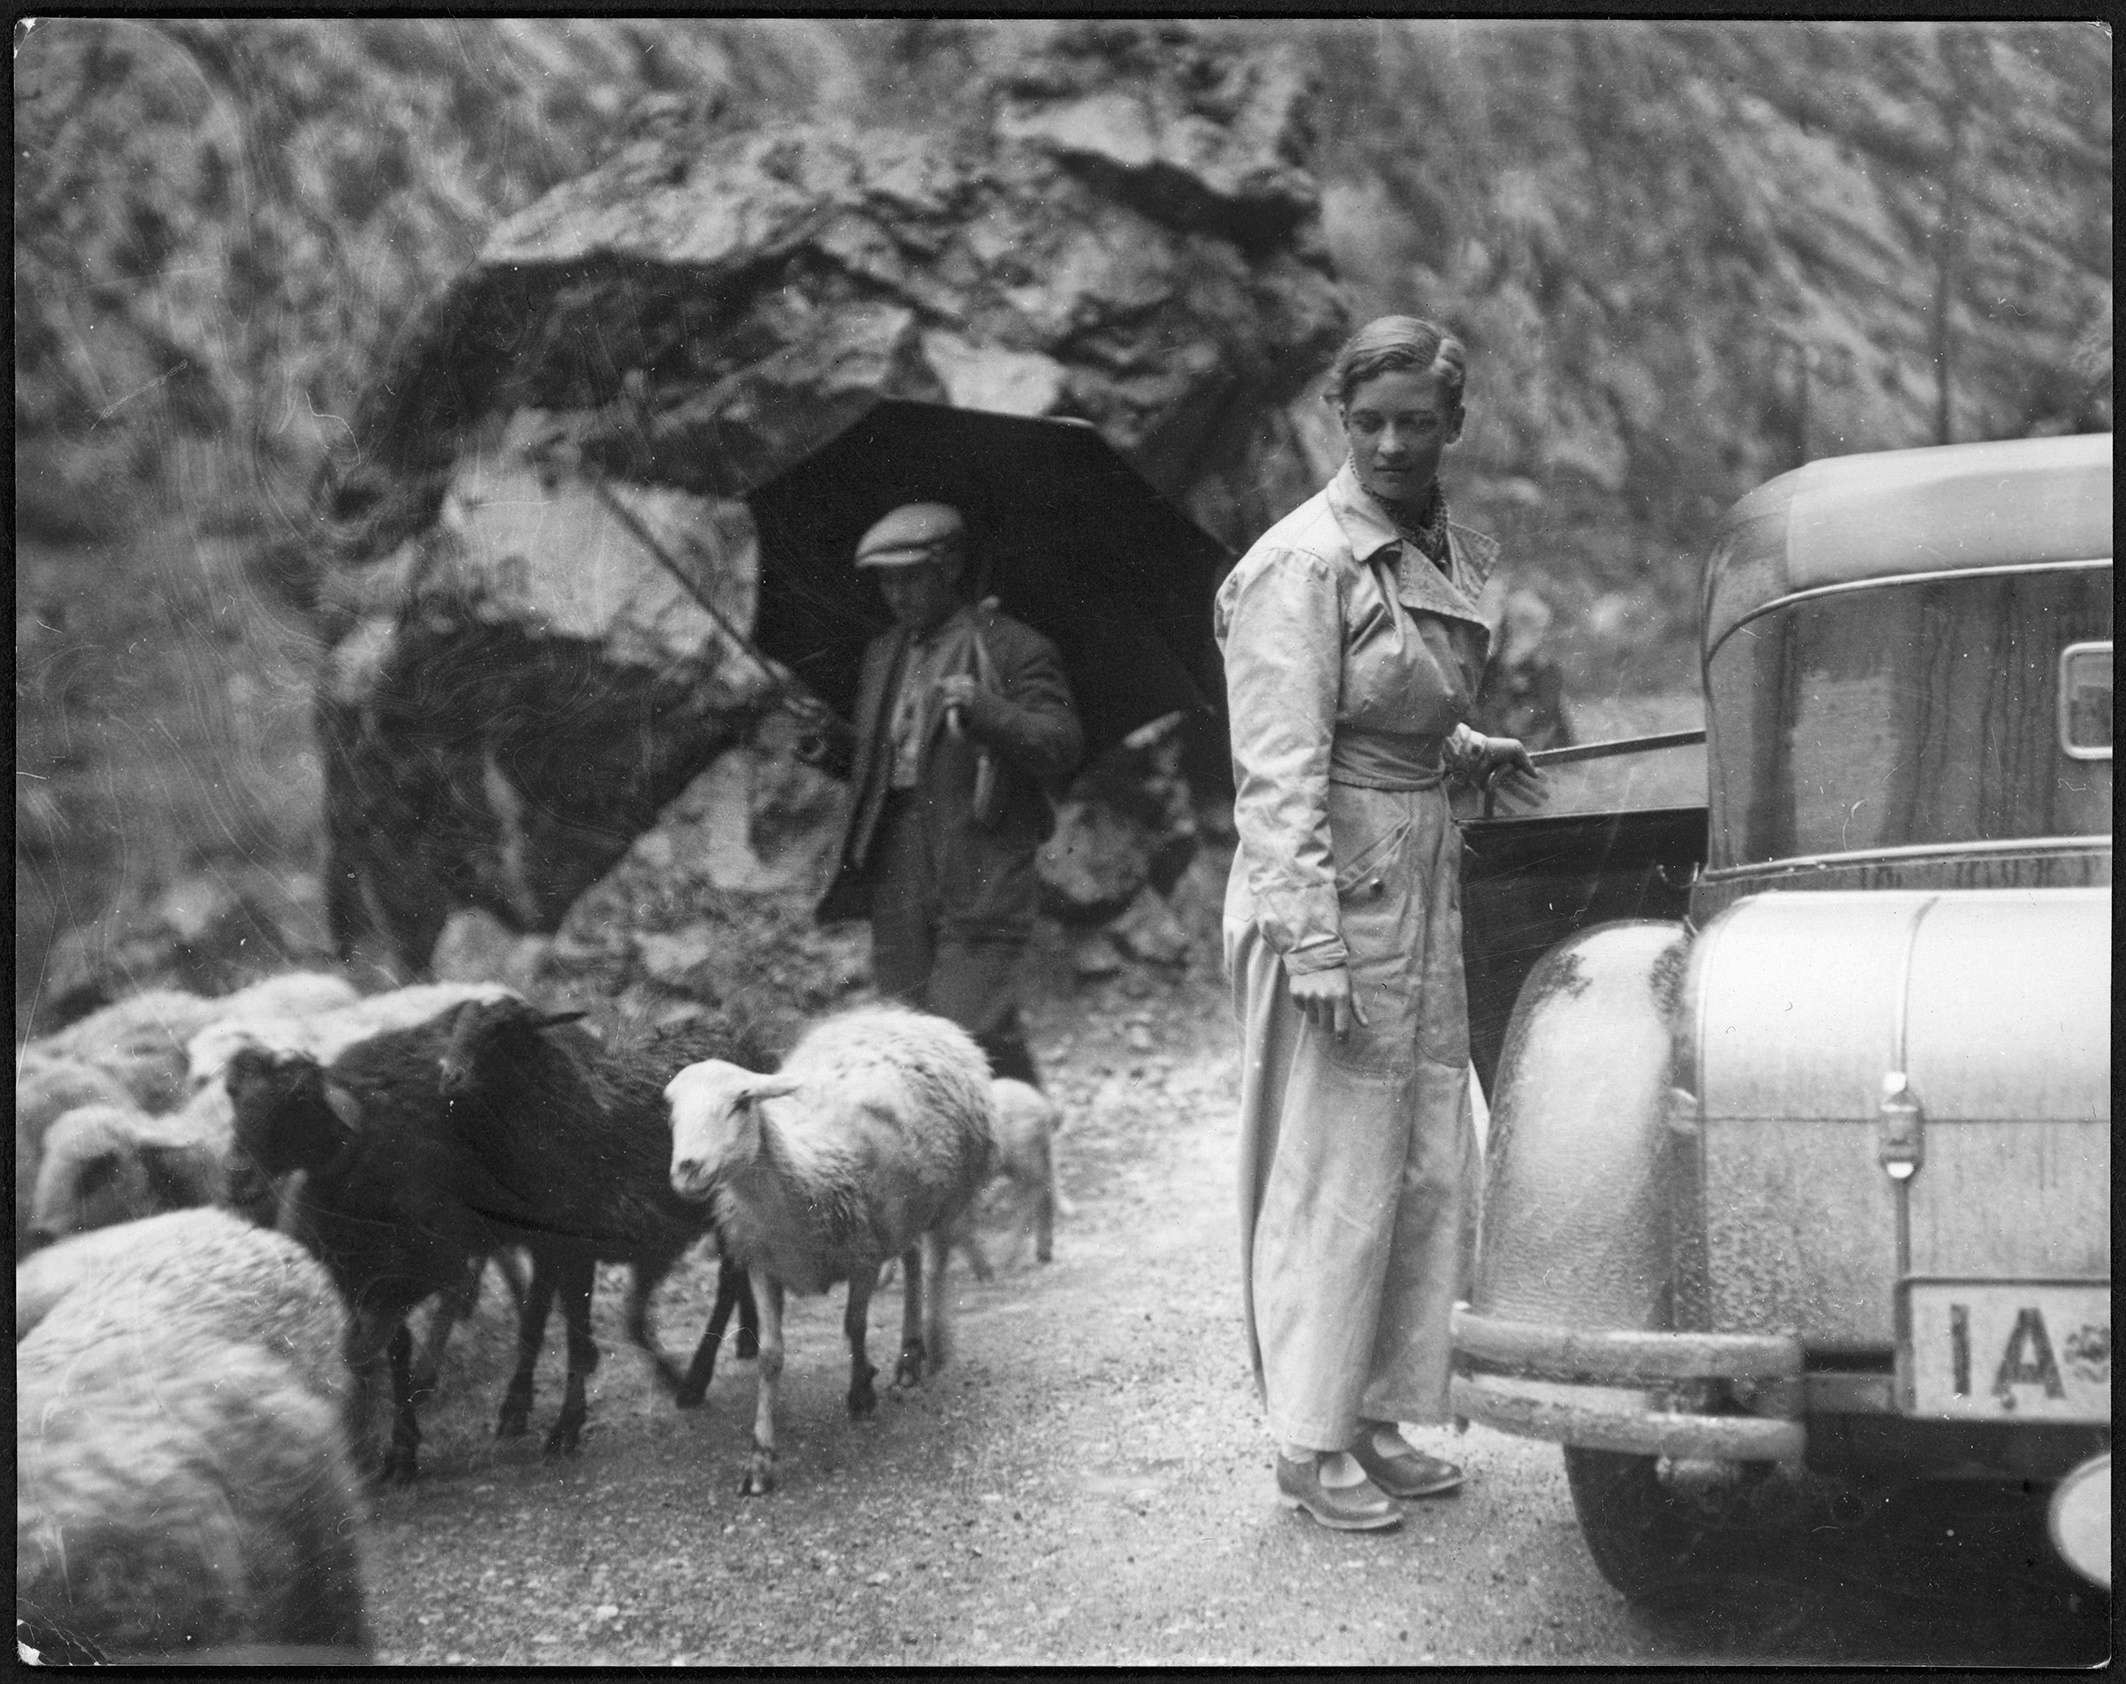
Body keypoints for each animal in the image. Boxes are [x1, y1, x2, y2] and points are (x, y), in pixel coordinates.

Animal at [663, 1007, 994, 1496]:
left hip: (945, 1194)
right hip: (900, 1211)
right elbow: (770, 1357)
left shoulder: (863, 1255)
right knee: (913, 1256)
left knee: (934, 1266)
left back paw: (925, 1349)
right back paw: (910, 1353)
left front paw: (861, 1393)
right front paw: (760, 1459)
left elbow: (854, 1325)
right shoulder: (763, 1265)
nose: (687, 1170)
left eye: (741, 1103)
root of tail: (900, 1015)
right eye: (672, 1114)